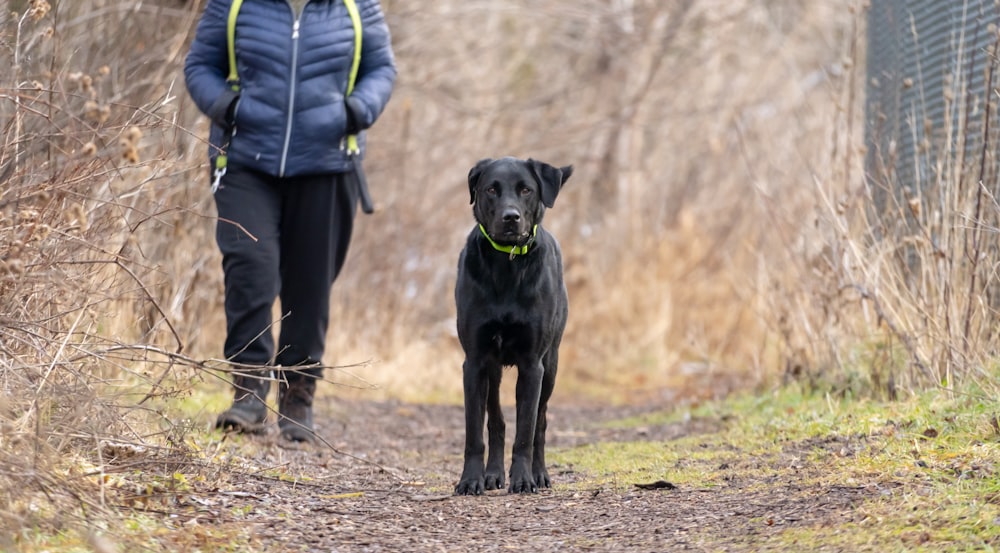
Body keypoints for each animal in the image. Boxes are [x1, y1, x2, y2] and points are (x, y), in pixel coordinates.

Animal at [454, 156, 572, 496]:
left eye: (526, 190)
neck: (507, 264)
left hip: (551, 365)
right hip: (492, 369)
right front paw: (471, 479)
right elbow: (475, 432)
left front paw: (523, 479)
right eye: (492, 189)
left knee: (540, 424)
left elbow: (526, 431)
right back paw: (493, 474)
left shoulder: (533, 365)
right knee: (496, 420)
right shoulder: (474, 362)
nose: (511, 217)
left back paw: (540, 473)